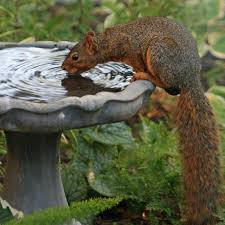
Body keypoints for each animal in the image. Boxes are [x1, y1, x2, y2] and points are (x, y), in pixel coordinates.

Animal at [62, 16, 221, 224]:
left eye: (75, 57)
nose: (62, 67)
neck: (108, 41)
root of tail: (190, 78)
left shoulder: (129, 47)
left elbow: (136, 60)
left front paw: (136, 71)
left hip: (159, 53)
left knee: (165, 80)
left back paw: (146, 75)